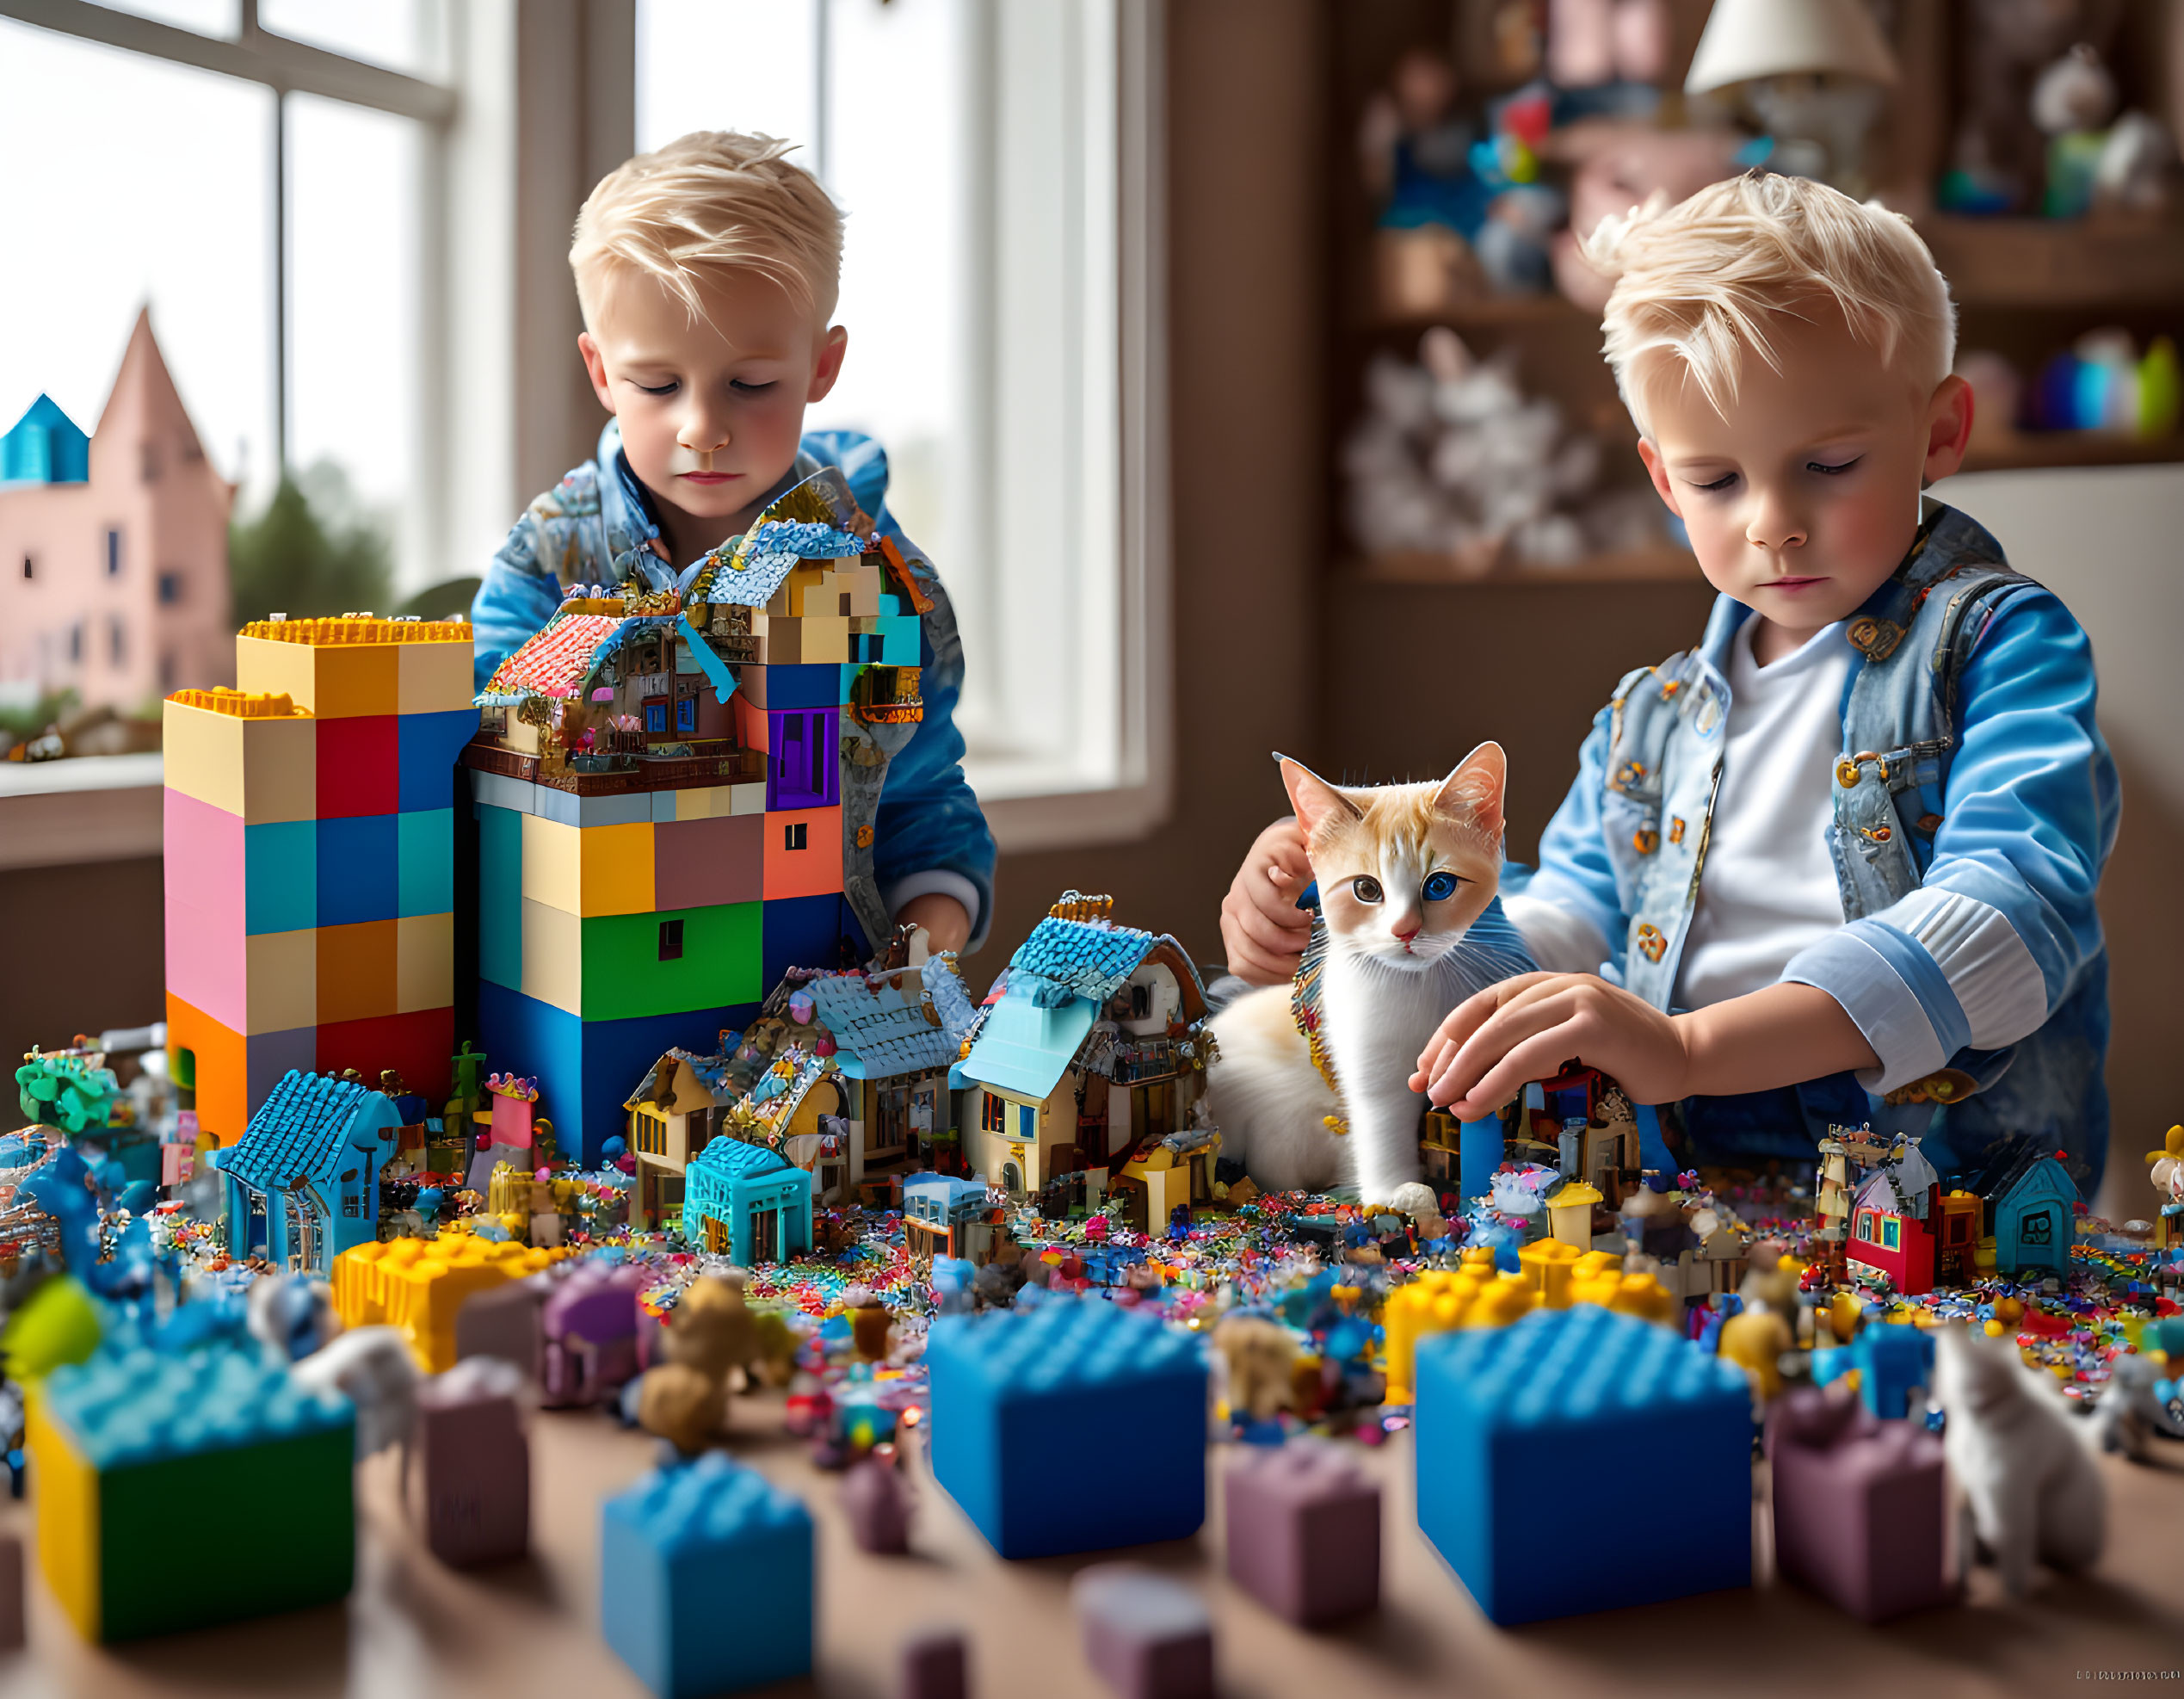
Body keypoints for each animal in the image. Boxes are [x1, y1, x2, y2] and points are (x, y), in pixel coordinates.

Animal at [1205, 746, 1528, 1214]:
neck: (1419, 987)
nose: (1405, 931)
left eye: (1440, 885)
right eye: (1366, 889)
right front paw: (1396, 1194)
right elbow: (1381, 1123)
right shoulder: (1370, 1058)